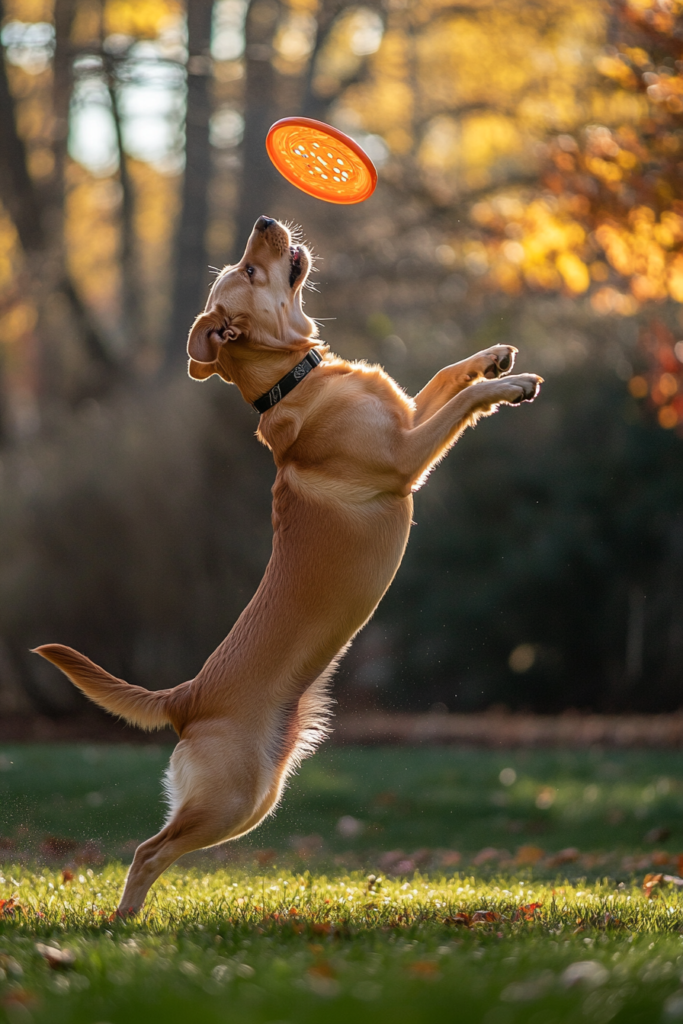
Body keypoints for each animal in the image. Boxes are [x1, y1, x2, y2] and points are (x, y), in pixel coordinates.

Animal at [36, 214, 540, 913]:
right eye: (249, 270)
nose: (265, 221)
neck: (297, 379)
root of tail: (187, 696)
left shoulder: (409, 414)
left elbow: (445, 376)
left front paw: (492, 359)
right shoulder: (407, 455)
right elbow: (459, 407)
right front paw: (505, 385)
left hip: (257, 799)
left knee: (159, 847)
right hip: (230, 799)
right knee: (146, 851)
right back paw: (124, 921)